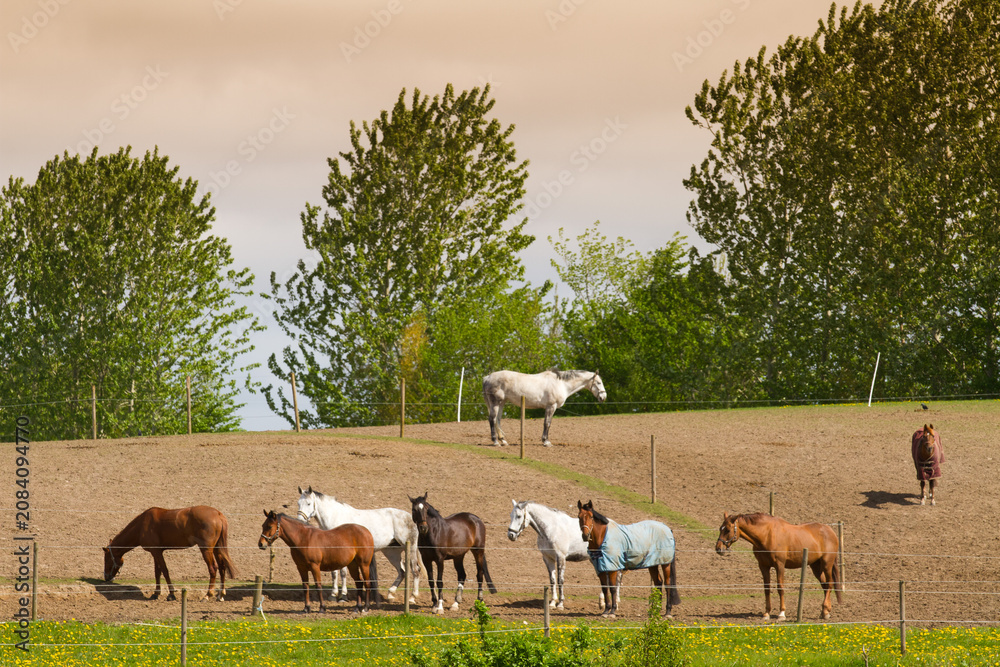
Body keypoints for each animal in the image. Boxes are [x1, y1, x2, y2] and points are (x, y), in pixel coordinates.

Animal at [103, 505, 238, 602]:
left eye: (106, 559)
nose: (106, 577)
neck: (142, 525)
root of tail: (218, 514)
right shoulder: (156, 552)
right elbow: (157, 572)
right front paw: (156, 593)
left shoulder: (157, 552)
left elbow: (164, 571)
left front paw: (171, 594)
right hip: (216, 549)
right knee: (222, 567)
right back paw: (220, 594)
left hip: (206, 550)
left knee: (213, 569)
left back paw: (207, 595)